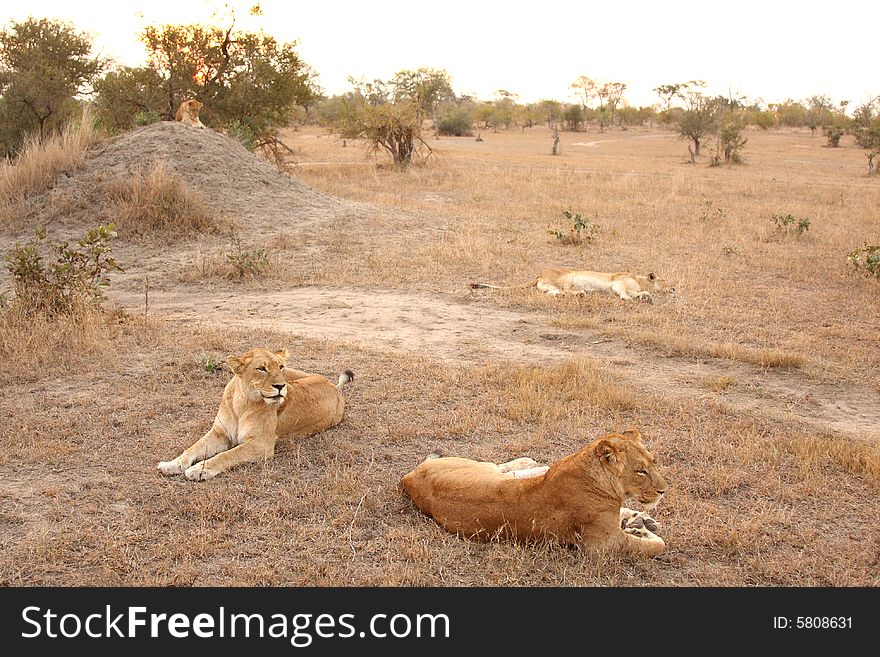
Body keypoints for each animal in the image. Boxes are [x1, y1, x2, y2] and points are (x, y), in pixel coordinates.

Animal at [158, 346, 354, 480]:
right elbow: (193, 447)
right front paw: (171, 464)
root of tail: (334, 386)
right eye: (261, 368)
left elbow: (228, 454)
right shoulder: (220, 433)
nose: (280, 386)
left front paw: (200, 469)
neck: (242, 402)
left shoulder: (261, 444)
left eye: (280, 366)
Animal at [398, 428, 668, 556]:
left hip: (485, 472)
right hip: (478, 467)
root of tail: (409, 477)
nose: (664, 491)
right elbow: (657, 546)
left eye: (654, 463)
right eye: (640, 471)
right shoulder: (602, 546)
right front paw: (643, 532)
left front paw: (639, 524)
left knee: (510, 471)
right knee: (502, 466)